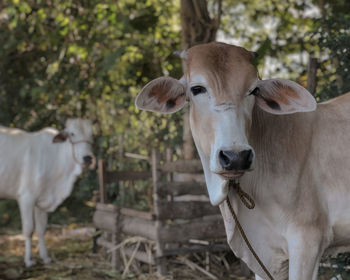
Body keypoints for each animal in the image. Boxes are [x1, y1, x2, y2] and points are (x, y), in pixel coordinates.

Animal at [0, 118, 95, 266]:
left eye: (92, 135)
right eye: (72, 134)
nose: (88, 158)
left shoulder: (42, 201)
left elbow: (41, 229)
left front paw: (45, 257)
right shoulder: (26, 198)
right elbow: (28, 229)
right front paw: (28, 261)